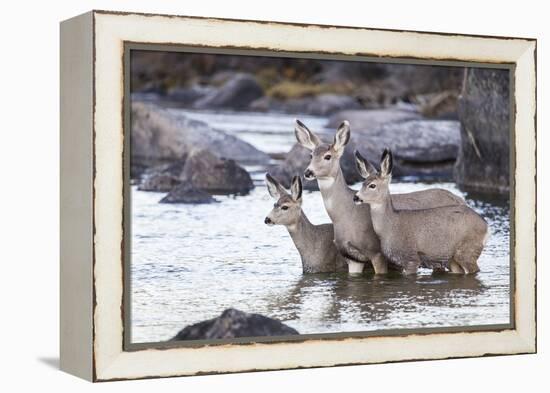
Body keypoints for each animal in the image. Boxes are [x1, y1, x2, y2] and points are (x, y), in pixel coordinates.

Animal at [296, 118, 468, 274]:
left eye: (328, 156)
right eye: (311, 155)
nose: (308, 172)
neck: (345, 215)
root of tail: (461, 200)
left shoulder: (376, 252)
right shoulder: (352, 258)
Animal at [356, 149, 490, 274]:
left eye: (372, 185)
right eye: (363, 183)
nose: (356, 197)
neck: (389, 226)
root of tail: (486, 226)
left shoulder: (411, 257)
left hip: (468, 250)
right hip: (453, 257)